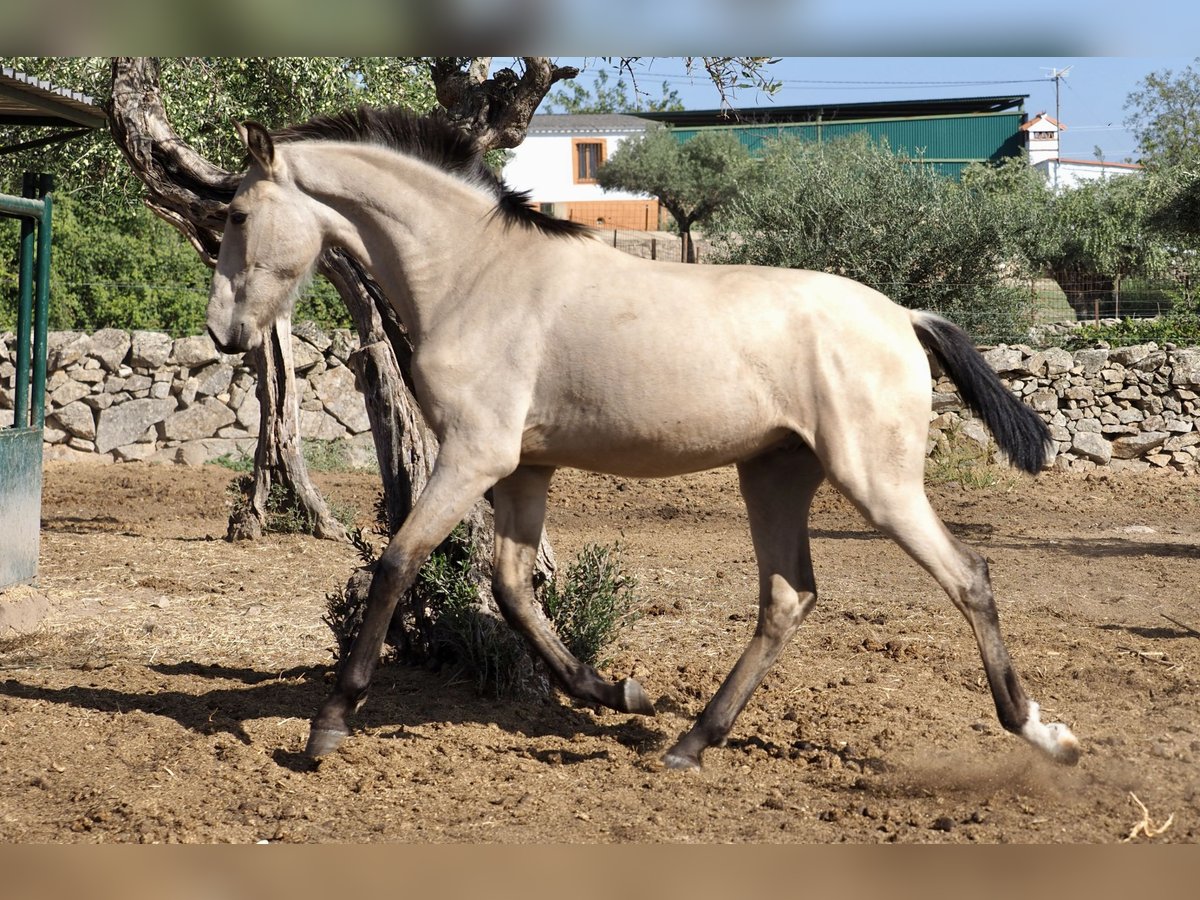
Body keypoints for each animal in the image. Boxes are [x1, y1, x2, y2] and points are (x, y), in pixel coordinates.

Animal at [204, 103, 1080, 768]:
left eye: (238, 214)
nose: (223, 332)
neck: (476, 276)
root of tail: (904, 315)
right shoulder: (524, 469)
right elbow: (513, 589)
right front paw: (616, 691)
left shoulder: (475, 455)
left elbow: (397, 562)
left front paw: (328, 725)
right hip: (775, 474)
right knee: (788, 598)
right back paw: (689, 741)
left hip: (877, 481)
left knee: (967, 576)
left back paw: (1045, 735)